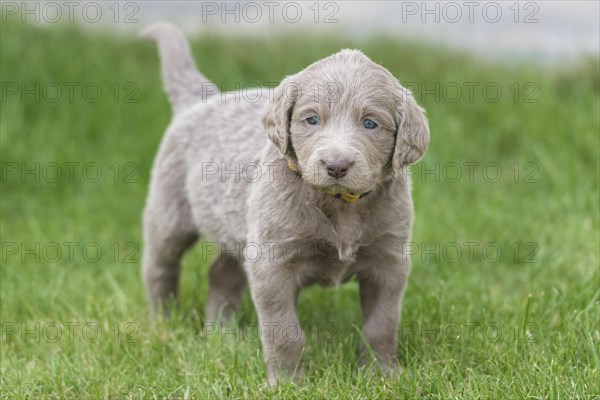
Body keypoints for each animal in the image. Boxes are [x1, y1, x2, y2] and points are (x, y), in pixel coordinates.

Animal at [142, 22, 428, 384]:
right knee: (161, 266)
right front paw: (288, 382)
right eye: (312, 119)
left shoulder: (388, 260)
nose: (336, 165)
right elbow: (284, 330)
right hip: (170, 211)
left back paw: (220, 334)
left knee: (222, 274)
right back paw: (163, 322)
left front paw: (382, 375)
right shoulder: (272, 261)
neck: (339, 203)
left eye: (370, 123)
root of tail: (201, 99)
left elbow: (382, 323)